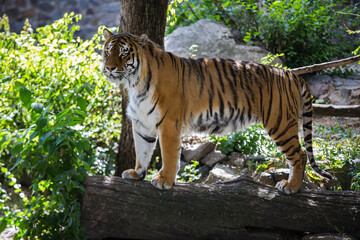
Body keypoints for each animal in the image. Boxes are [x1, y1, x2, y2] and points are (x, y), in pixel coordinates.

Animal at [100, 28, 332, 194]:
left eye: (124, 53)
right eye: (107, 52)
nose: (109, 68)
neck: (134, 84)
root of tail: (292, 74)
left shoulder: (169, 125)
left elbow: (169, 156)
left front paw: (164, 180)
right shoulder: (142, 125)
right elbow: (143, 152)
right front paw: (136, 173)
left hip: (280, 123)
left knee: (300, 155)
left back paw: (291, 187)